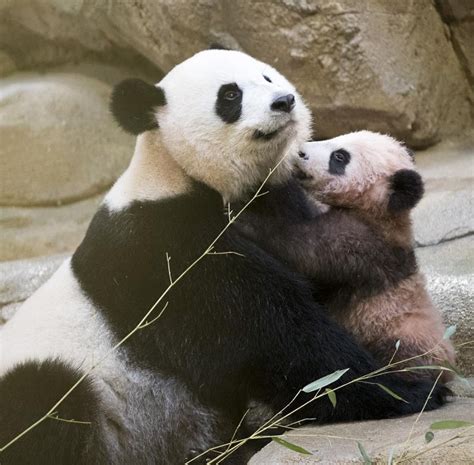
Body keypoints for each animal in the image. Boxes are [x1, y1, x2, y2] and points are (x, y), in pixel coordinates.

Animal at [0, 49, 448, 464]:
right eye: (230, 95)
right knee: (44, 401)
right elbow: (266, 332)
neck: (173, 170)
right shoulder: (158, 247)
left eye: (266, 76)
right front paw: (411, 389)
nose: (285, 101)